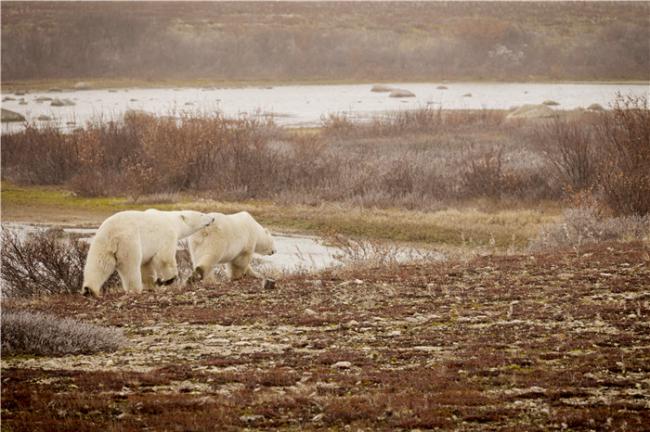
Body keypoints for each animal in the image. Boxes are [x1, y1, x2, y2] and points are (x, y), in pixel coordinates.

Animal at [80, 209, 213, 296]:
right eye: (202, 214)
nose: (212, 218)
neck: (172, 220)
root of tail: (113, 233)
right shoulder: (167, 235)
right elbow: (164, 258)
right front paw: (167, 280)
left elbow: (146, 265)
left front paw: (151, 284)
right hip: (129, 241)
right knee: (130, 266)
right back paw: (135, 289)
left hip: (101, 242)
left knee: (99, 264)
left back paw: (89, 290)